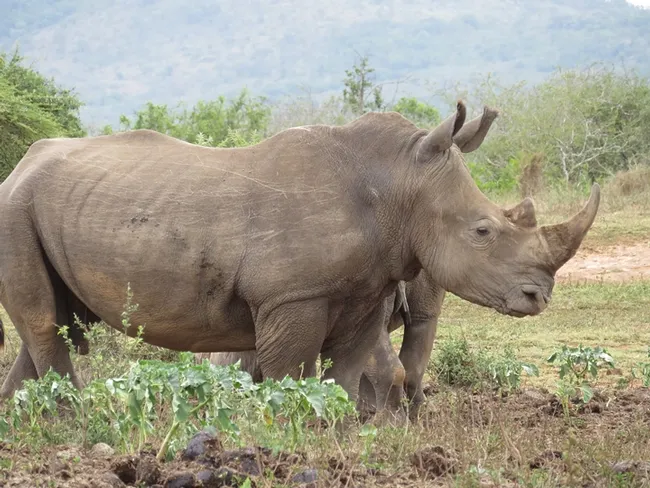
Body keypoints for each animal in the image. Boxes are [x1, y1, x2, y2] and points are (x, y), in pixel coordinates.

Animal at [0, 100, 600, 402]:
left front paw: (333, 438)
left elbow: (344, 376)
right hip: (14, 209)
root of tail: (19, 165)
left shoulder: (366, 291)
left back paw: (33, 425)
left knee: (50, 322)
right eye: (482, 231)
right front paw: (286, 436)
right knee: (43, 322)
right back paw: (72, 420)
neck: (397, 184)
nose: (539, 297)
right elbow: (290, 373)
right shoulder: (293, 296)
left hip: (42, 206)